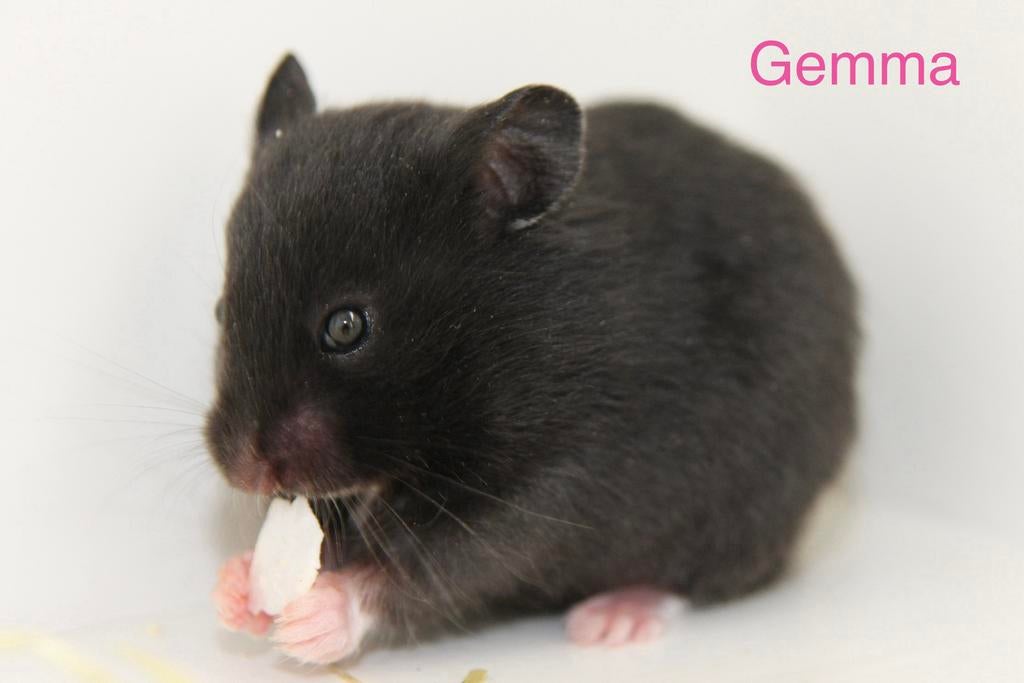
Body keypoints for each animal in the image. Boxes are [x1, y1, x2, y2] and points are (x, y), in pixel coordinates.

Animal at [207, 54, 858, 662]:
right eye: (219, 310)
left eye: (346, 327)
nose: (243, 470)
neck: (494, 335)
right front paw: (235, 592)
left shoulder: (554, 481)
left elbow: (445, 564)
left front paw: (311, 621)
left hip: (745, 506)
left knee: (703, 577)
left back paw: (611, 620)